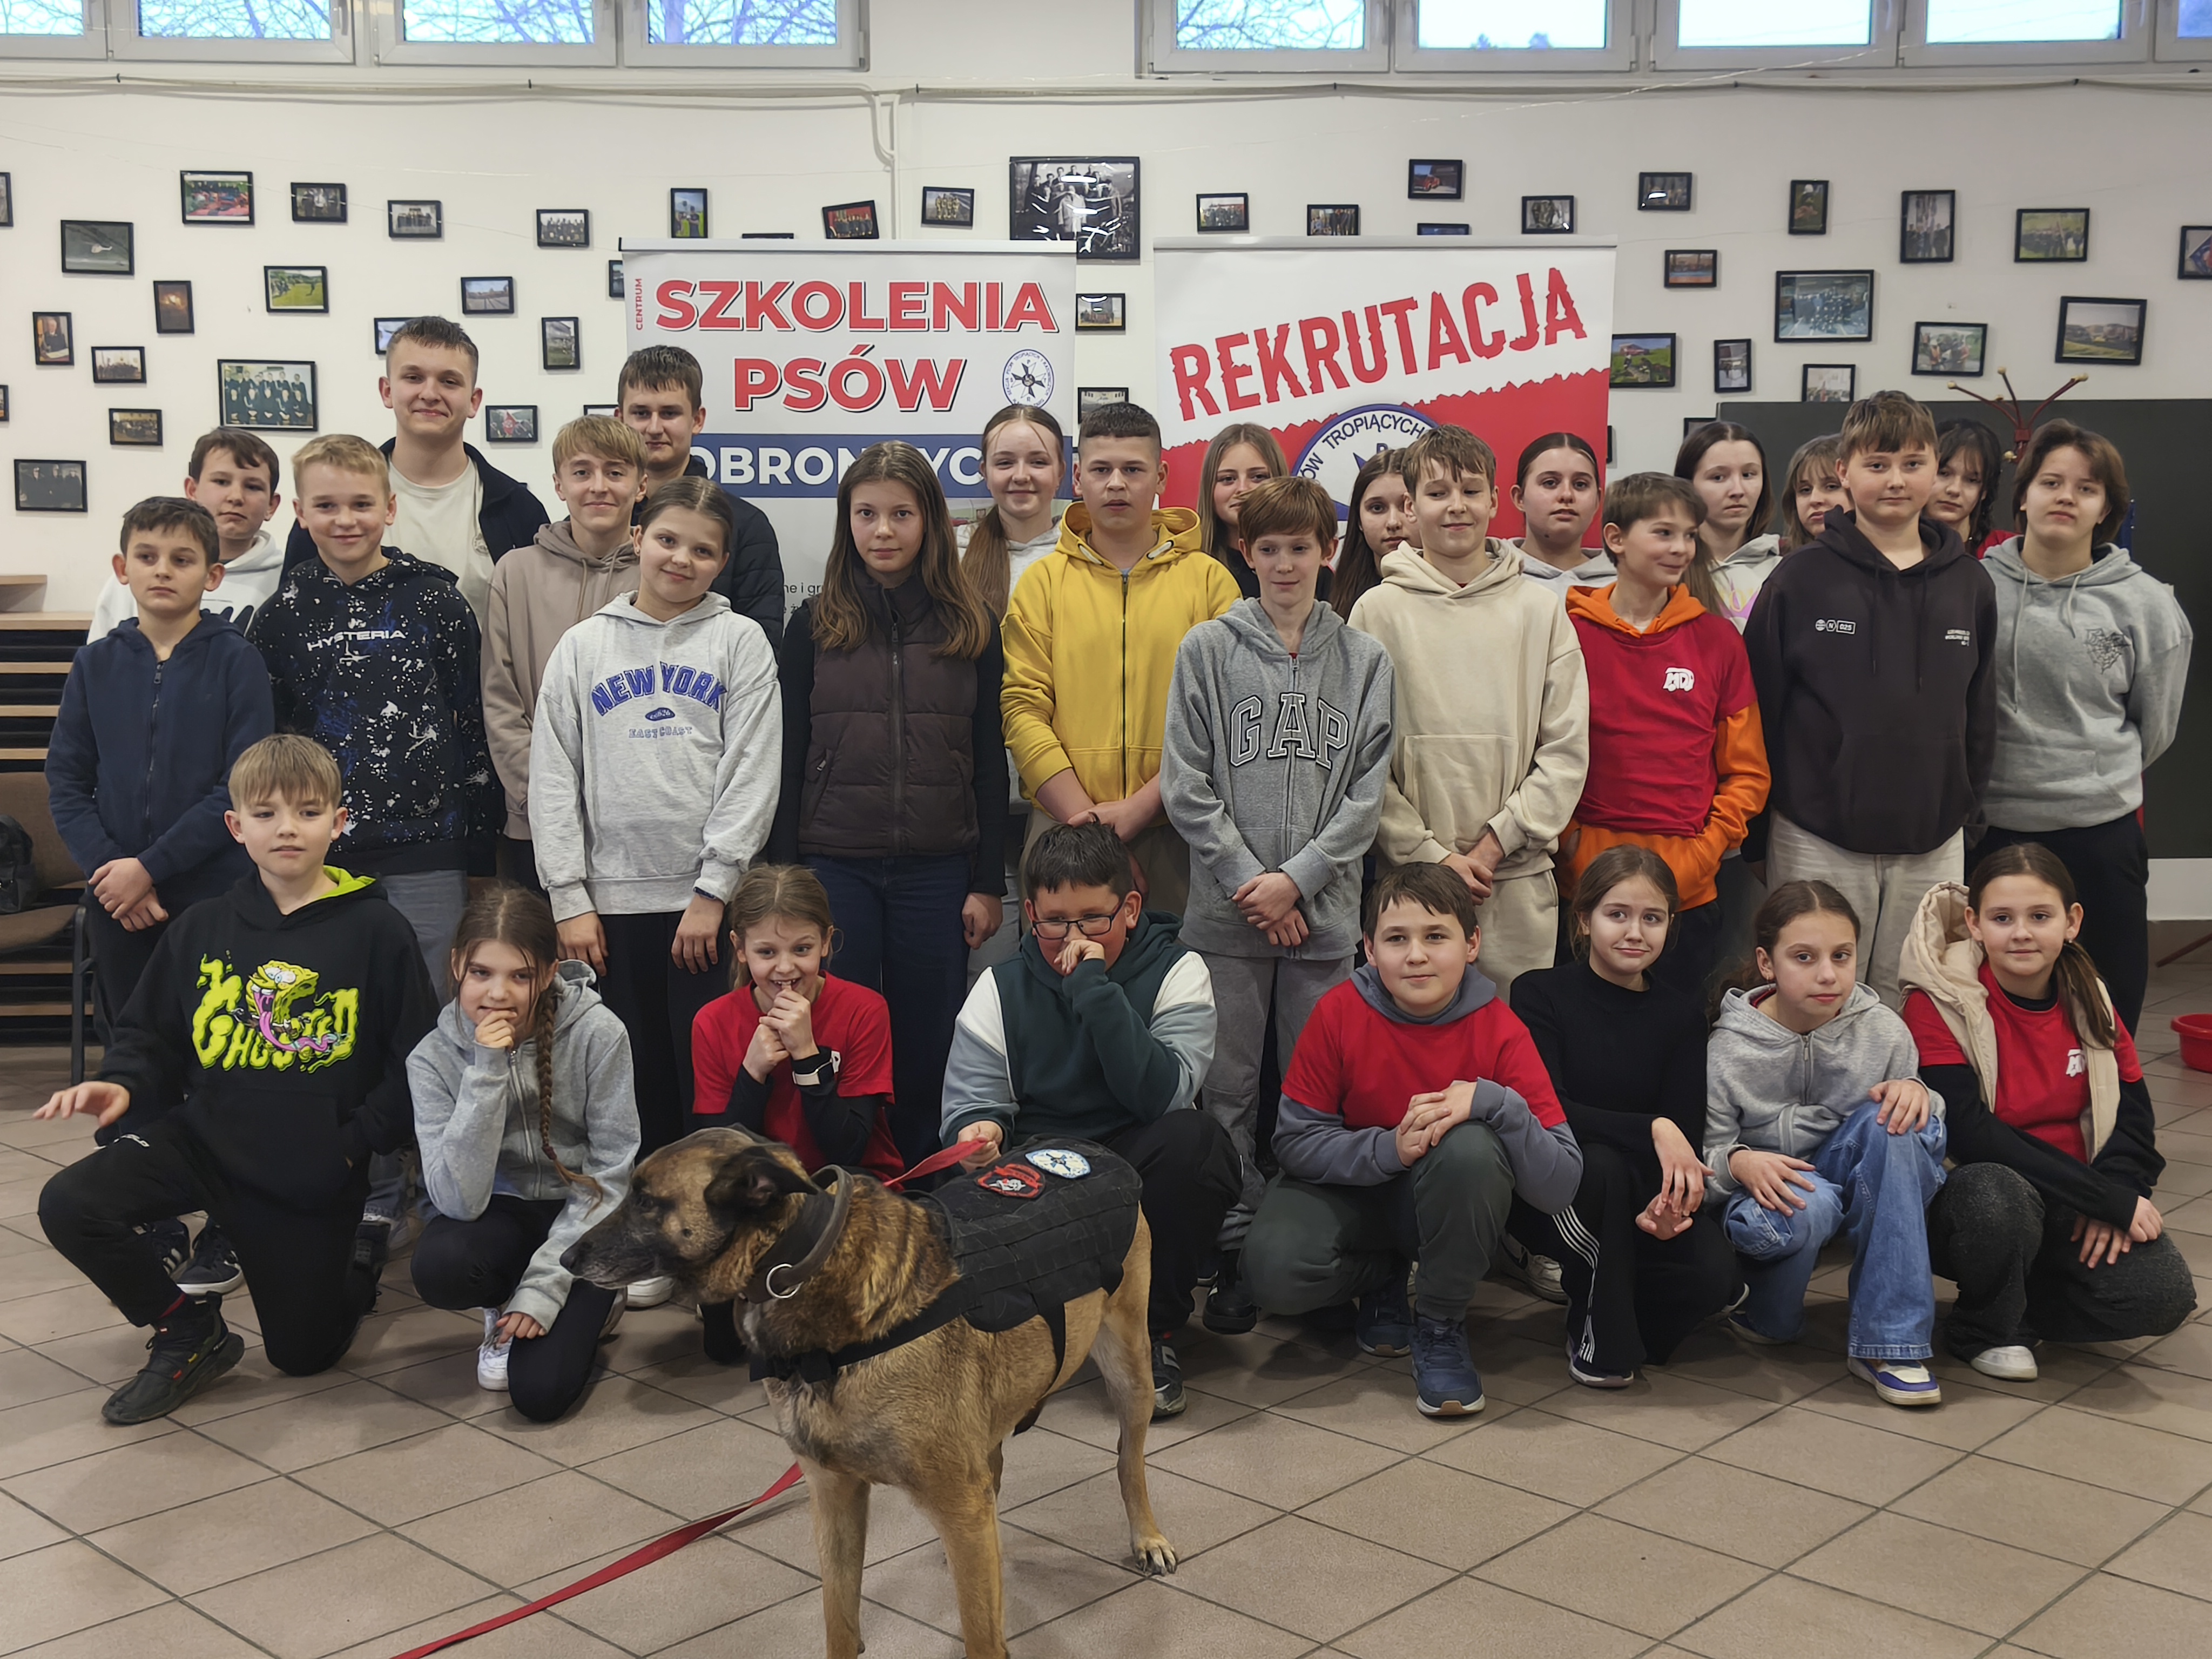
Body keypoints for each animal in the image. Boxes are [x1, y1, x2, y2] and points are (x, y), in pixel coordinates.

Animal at [564, 1127, 1175, 1659]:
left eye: (647, 1202)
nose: (568, 1259)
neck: (799, 1265)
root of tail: (1079, 1144)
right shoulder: (835, 1497)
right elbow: (839, 1617)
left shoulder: (955, 1500)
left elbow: (981, 1637)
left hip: (1130, 1369)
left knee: (1128, 1460)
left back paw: (1146, 1535)